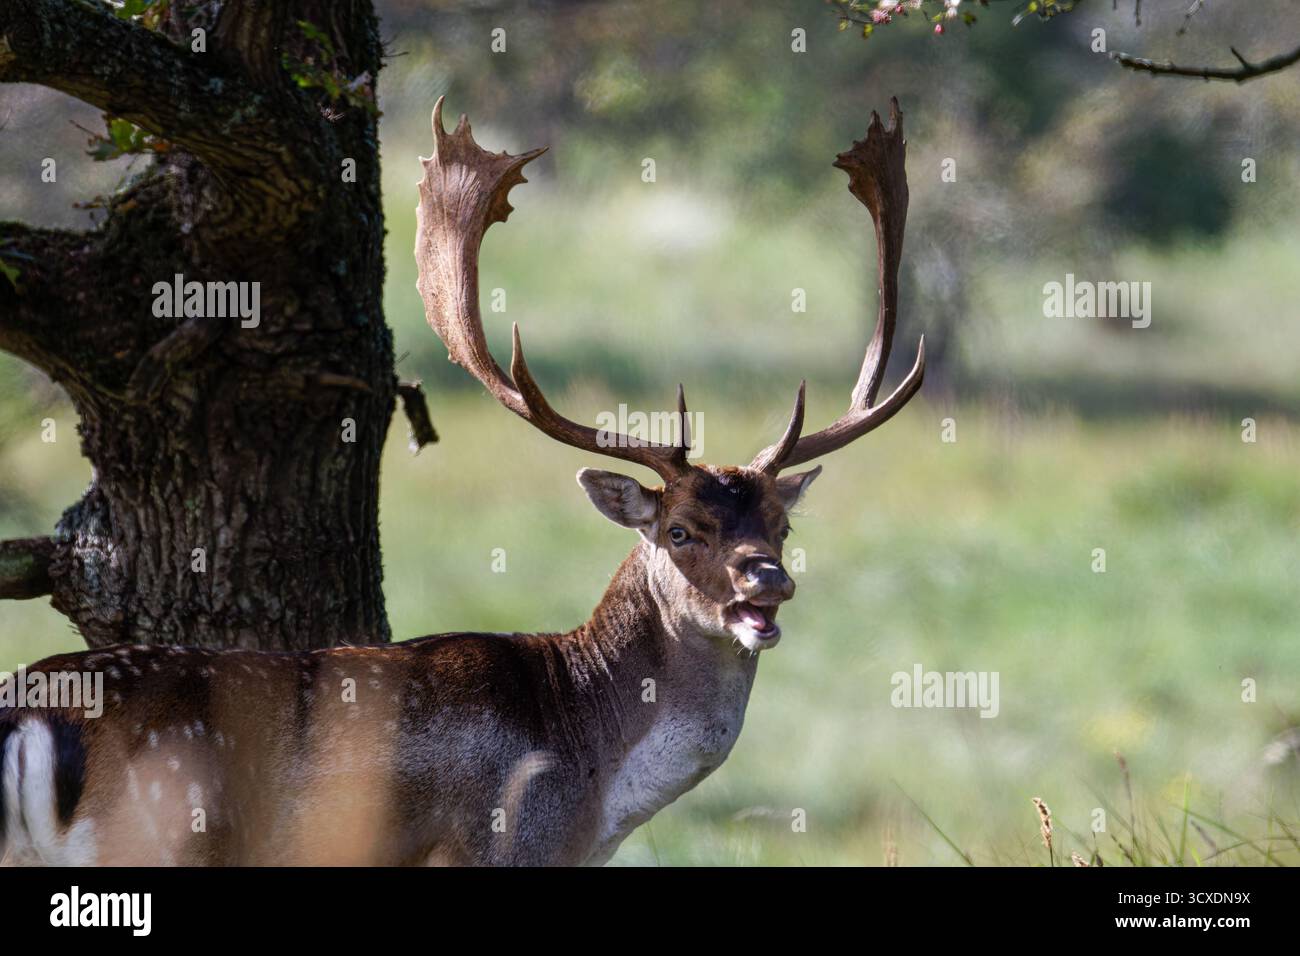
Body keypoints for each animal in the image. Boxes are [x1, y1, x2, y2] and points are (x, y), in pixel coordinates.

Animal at [0, 98, 923, 866]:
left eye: (782, 525)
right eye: (680, 529)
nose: (767, 580)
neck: (592, 793)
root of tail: (31, 716)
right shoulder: (500, 848)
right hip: (147, 840)